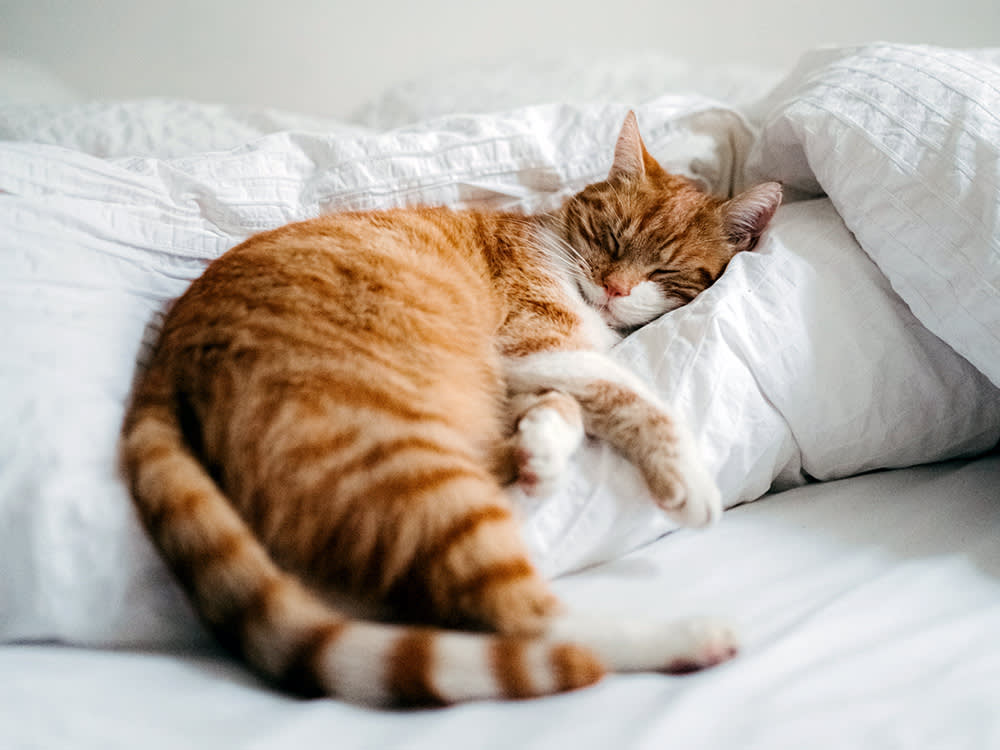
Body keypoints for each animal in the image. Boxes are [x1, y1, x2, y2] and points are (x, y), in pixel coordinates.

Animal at [123, 111, 780, 704]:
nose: (615, 288)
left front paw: (541, 449)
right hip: (413, 465)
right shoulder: (538, 345)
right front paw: (688, 476)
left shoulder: (536, 370)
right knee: (522, 621)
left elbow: (568, 408)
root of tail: (167, 354)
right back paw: (689, 638)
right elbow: (633, 395)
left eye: (665, 269)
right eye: (611, 237)